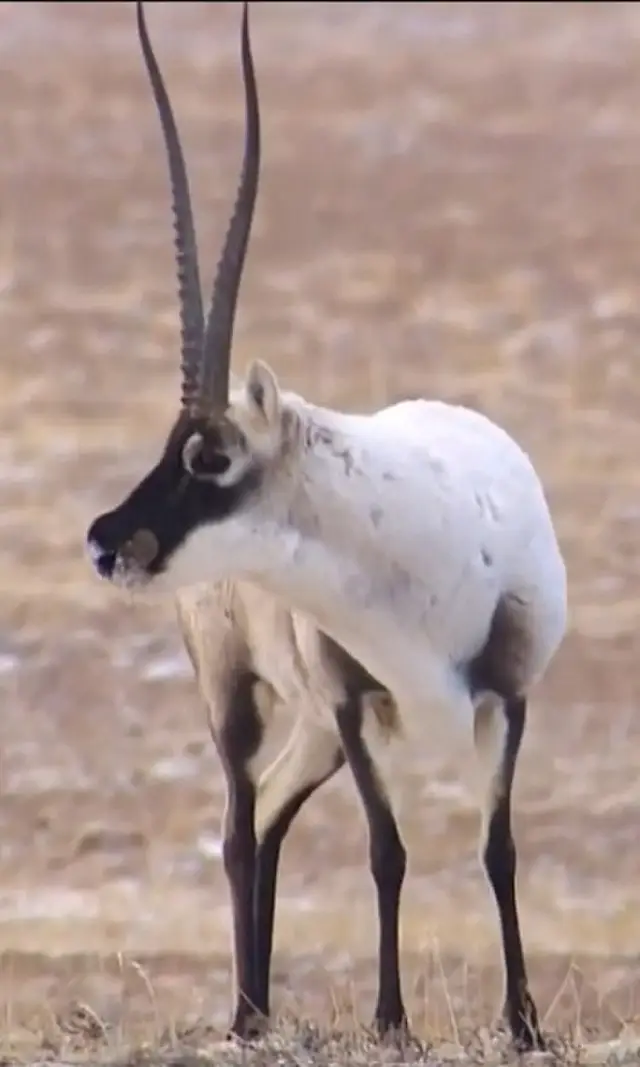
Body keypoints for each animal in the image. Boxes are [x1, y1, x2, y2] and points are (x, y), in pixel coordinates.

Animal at [86, 0, 567, 1051]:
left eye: (209, 457)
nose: (106, 539)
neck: (415, 538)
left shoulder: (507, 699)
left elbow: (499, 847)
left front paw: (522, 1021)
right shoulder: (354, 703)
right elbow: (387, 851)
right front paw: (391, 1021)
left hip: (309, 730)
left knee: (268, 817)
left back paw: (261, 1006)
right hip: (244, 694)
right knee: (239, 826)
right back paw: (243, 1013)